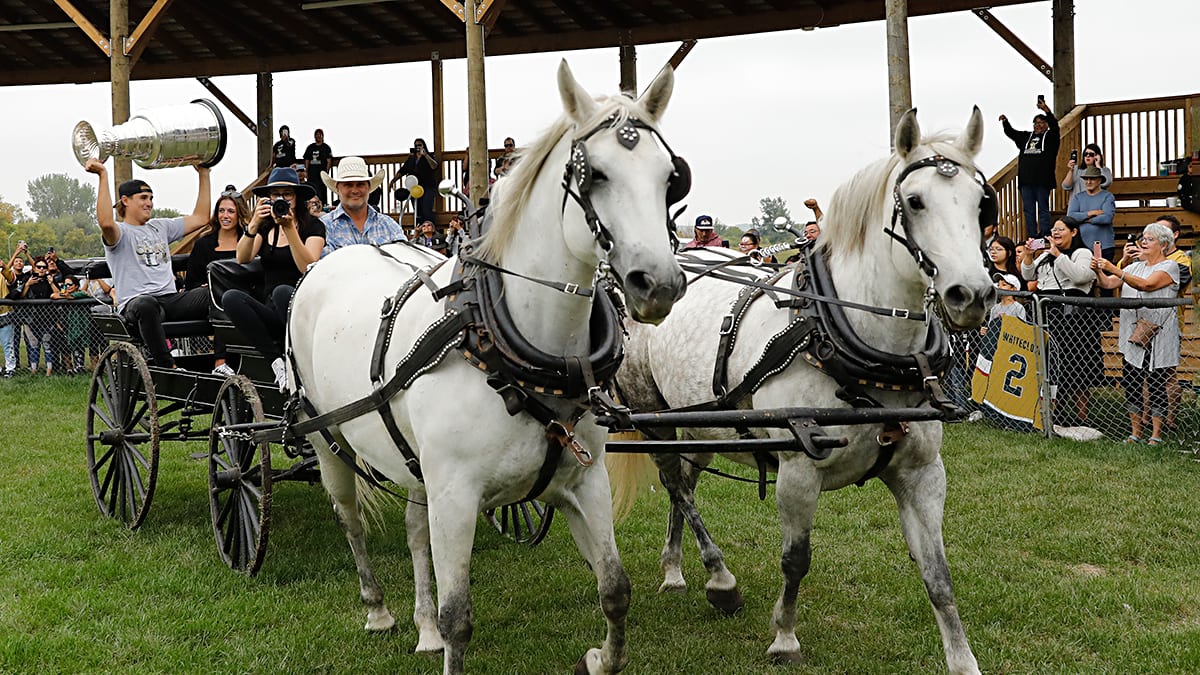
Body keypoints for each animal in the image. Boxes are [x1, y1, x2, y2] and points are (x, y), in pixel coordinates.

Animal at [286, 60, 691, 667]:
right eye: (593, 175)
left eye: (670, 177)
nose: (658, 284)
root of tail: (332, 260)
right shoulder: (455, 494)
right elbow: (459, 619)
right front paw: (441, 629)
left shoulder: (584, 482)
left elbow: (615, 588)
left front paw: (601, 657)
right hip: (326, 436)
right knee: (350, 519)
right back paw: (378, 608)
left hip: (412, 461)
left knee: (414, 530)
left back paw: (421, 625)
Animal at [614, 107, 988, 667]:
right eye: (916, 201)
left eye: (982, 201)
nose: (974, 294)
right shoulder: (797, 471)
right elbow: (796, 560)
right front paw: (785, 637)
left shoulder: (923, 475)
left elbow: (938, 575)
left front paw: (963, 661)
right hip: (650, 413)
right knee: (675, 483)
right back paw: (720, 579)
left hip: (706, 419)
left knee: (688, 478)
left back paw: (676, 568)